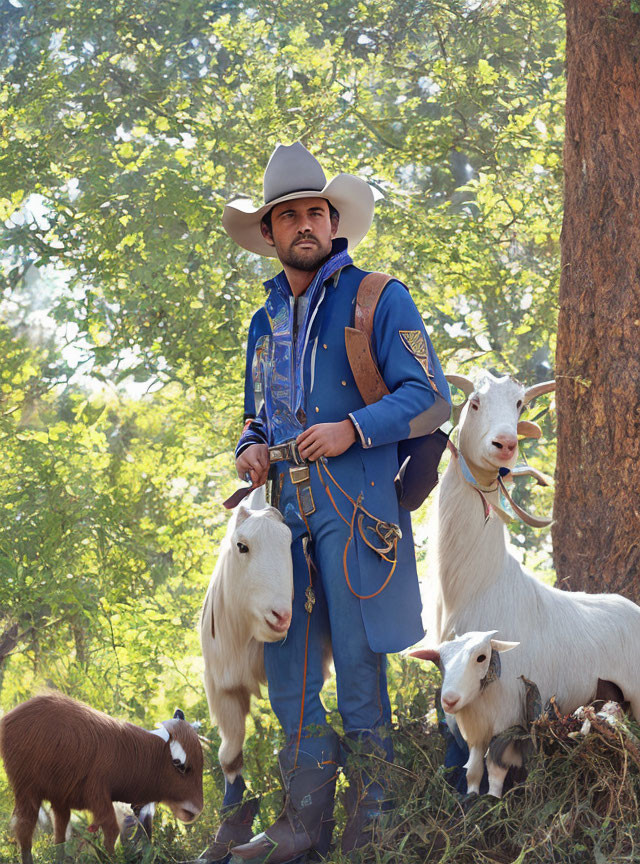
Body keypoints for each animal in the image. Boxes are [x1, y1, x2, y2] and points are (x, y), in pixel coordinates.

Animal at [0, 692, 202, 860]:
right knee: (24, 830)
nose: (196, 810)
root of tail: (8, 718)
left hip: (58, 800)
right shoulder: (98, 796)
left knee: (59, 833)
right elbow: (111, 832)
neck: (133, 755)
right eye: (179, 764)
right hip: (27, 791)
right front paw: (111, 859)